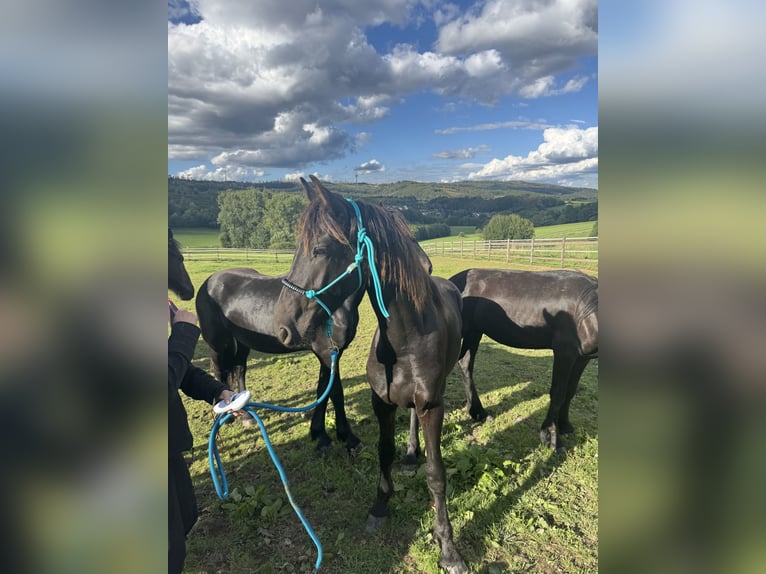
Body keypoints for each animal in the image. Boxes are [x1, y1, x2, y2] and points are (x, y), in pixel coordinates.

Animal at [195, 266, 364, 451]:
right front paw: (347, 438)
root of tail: (209, 282)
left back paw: (246, 416)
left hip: (242, 342)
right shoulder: (327, 353)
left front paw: (320, 435)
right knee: (219, 372)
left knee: (239, 371)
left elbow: (323, 390)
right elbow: (335, 392)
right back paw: (227, 415)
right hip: (218, 344)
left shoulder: (330, 355)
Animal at [273, 176, 468, 574]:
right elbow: (383, 452)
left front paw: (448, 548)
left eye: (319, 249)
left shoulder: (432, 406)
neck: (405, 340)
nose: (281, 328)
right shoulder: (382, 403)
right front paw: (380, 506)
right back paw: (409, 455)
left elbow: (436, 475)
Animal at [449, 268, 598, 450]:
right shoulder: (564, 353)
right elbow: (558, 394)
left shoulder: (582, 358)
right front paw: (551, 437)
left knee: (465, 365)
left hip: (474, 332)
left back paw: (478, 412)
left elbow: (570, 392)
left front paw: (565, 426)